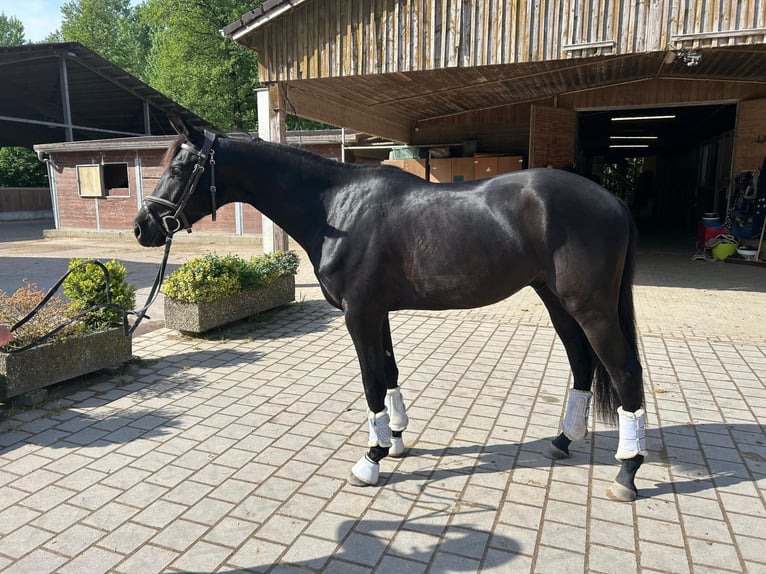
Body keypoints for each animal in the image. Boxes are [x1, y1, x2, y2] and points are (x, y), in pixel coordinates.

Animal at [133, 119, 648, 502]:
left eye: (180, 167)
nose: (143, 227)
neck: (336, 211)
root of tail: (614, 201)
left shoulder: (359, 313)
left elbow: (371, 381)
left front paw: (371, 459)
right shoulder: (376, 312)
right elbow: (390, 372)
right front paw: (396, 440)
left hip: (591, 307)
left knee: (623, 370)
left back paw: (627, 472)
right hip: (555, 299)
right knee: (581, 362)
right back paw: (564, 441)